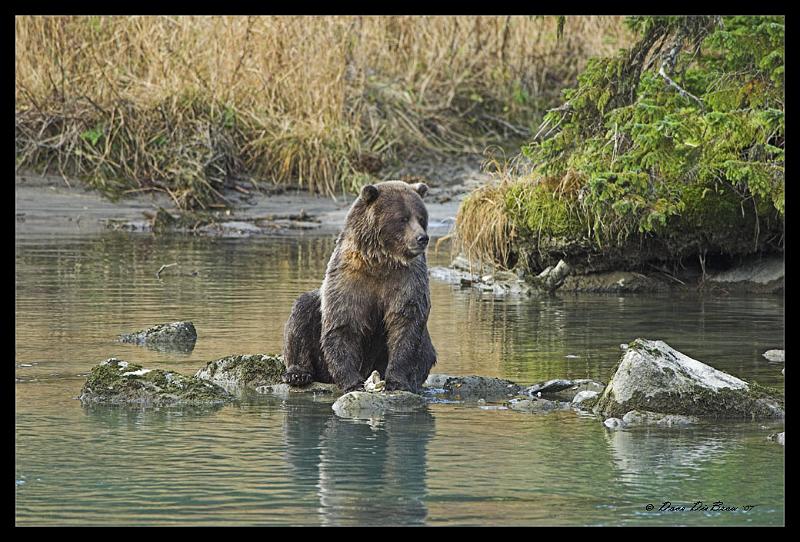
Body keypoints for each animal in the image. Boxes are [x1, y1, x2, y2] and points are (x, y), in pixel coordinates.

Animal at [282, 180, 437, 393]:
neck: (381, 262)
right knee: (302, 311)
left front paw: (397, 381)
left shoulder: (408, 278)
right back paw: (298, 373)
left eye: (421, 218)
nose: (422, 238)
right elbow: (343, 323)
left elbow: (406, 322)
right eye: (403, 218)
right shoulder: (349, 277)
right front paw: (352, 382)